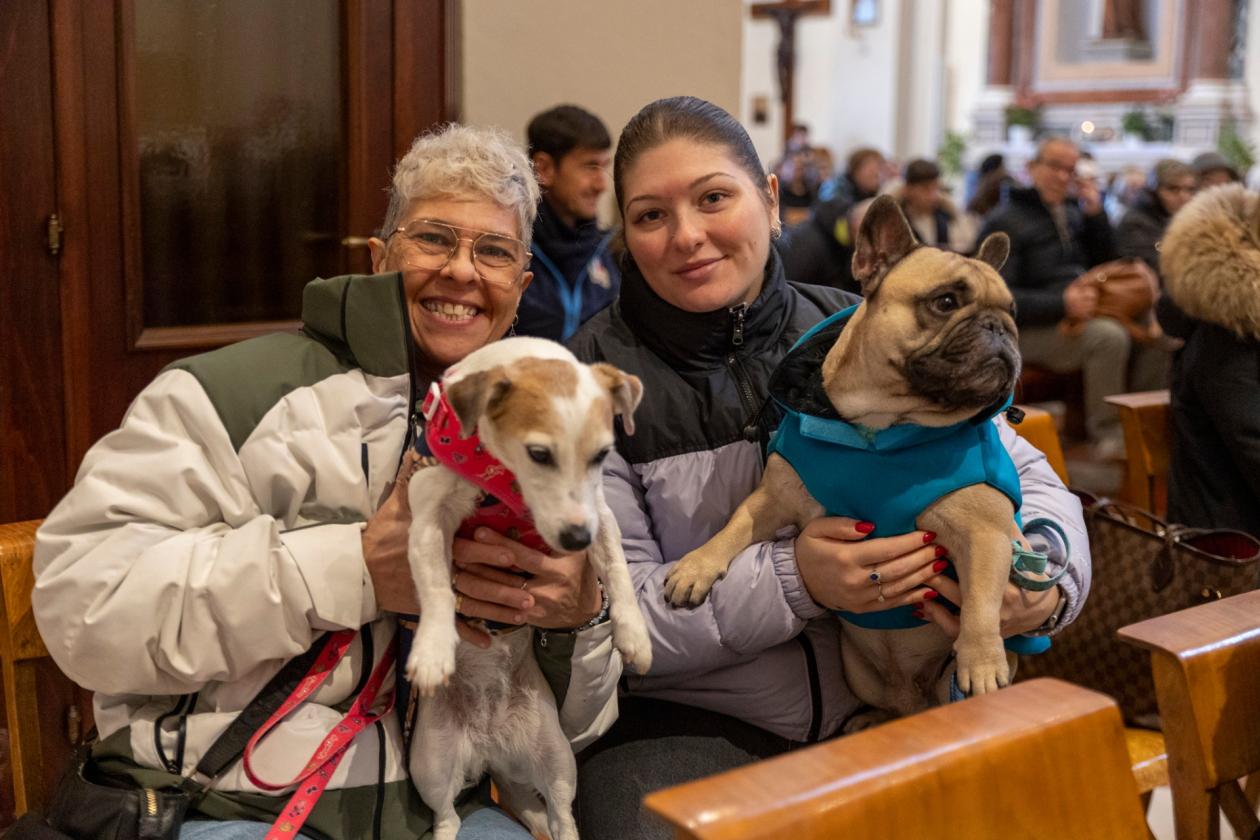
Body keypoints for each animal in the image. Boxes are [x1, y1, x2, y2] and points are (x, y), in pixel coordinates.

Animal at [404, 337, 652, 840]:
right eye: (539, 454)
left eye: (602, 455)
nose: (576, 540)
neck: (502, 478)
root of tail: (490, 751)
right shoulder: (428, 518)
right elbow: (439, 587)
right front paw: (434, 649)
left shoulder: (599, 514)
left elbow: (617, 568)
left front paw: (634, 634)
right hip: (431, 762)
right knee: (447, 815)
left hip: (555, 758)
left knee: (560, 814)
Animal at [663, 195, 1021, 721]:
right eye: (945, 302)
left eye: (1012, 310)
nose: (1002, 327)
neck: (879, 426)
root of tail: (908, 695)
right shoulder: (772, 499)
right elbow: (732, 528)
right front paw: (695, 566)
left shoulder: (985, 534)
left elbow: (980, 603)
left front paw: (980, 664)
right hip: (860, 671)